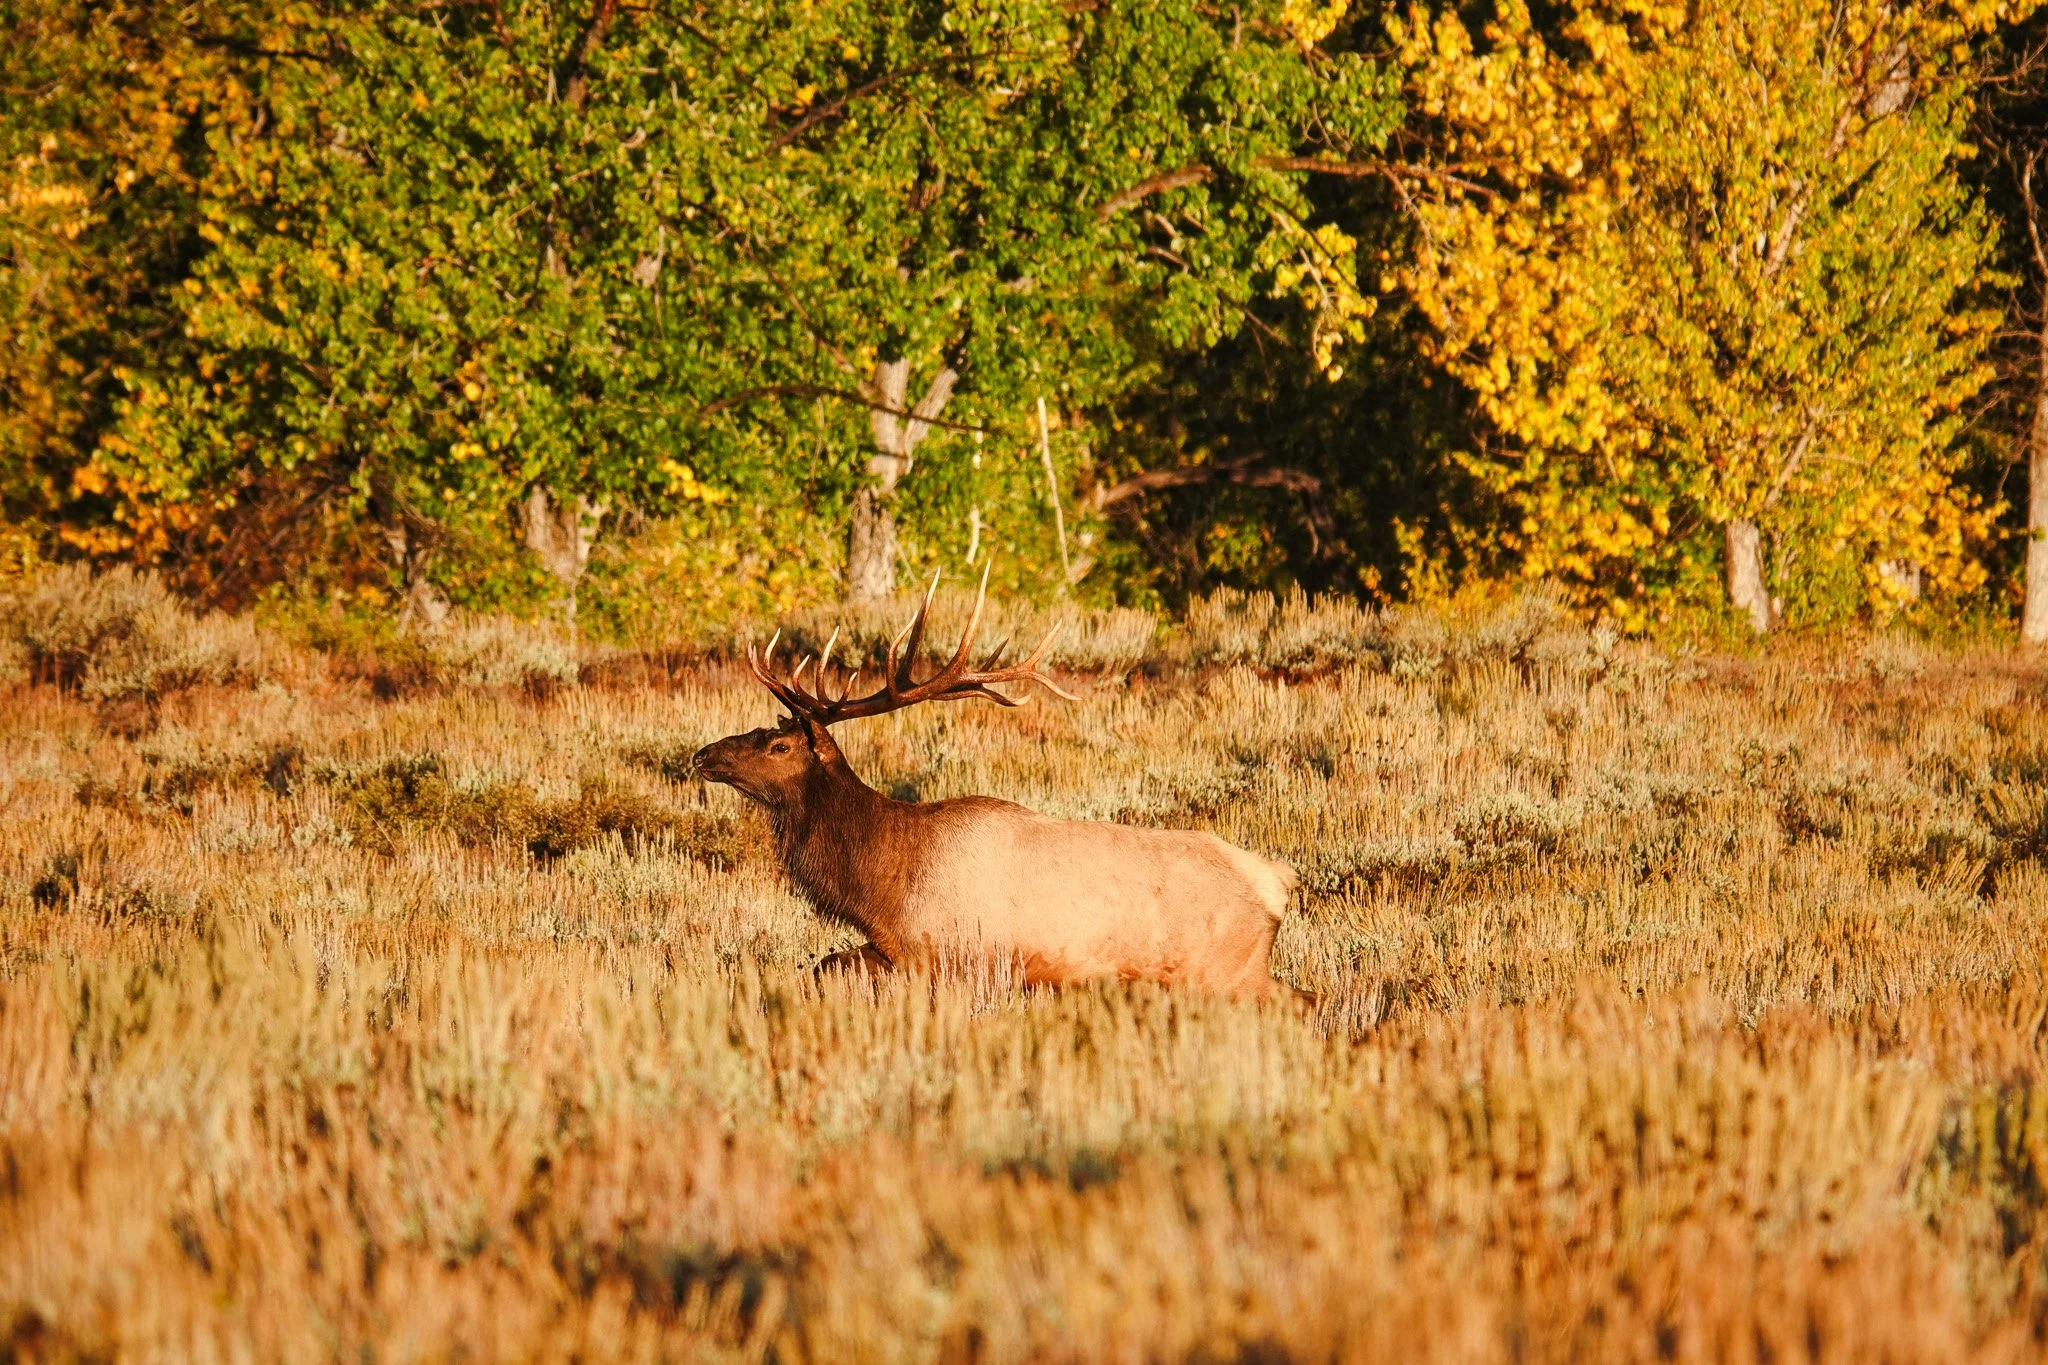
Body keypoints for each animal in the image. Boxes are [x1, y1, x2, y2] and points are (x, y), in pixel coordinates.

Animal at [691, 570, 1305, 999]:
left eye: (779, 747)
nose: (703, 755)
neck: (881, 889)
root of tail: (1276, 880)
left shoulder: (961, 959)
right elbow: (823, 965)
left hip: (1225, 969)